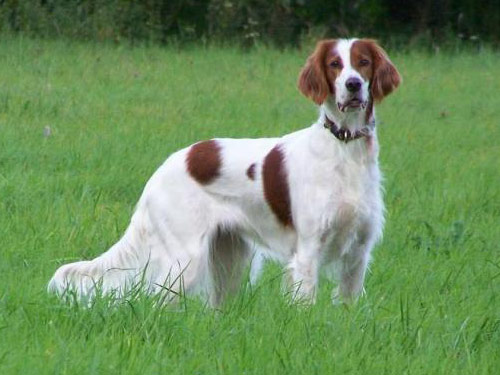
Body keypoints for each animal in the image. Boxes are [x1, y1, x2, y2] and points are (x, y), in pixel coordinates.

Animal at [49, 39, 402, 306]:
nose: (353, 85)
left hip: (230, 257)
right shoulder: (307, 251)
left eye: (363, 62)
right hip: (186, 259)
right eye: (334, 64)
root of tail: (163, 169)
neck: (344, 149)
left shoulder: (358, 253)